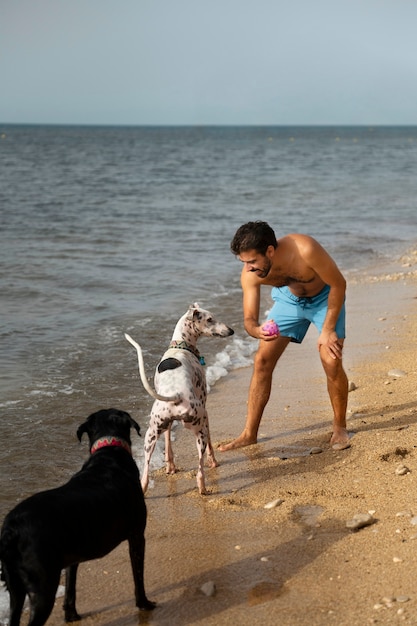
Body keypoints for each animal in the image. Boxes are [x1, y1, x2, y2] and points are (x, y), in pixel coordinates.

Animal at [0, 408, 155, 620]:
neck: (108, 452)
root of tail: (12, 529)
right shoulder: (137, 536)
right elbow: (138, 576)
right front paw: (144, 603)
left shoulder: (71, 557)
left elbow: (70, 587)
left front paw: (71, 615)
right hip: (42, 584)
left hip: (15, 586)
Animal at [123, 302, 234, 492]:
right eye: (210, 319)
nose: (231, 330)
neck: (180, 347)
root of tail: (175, 394)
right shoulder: (206, 411)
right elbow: (211, 445)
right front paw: (213, 461)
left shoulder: (166, 424)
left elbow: (168, 440)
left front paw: (170, 466)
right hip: (199, 429)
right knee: (199, 469)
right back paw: (203, 488)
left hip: (150, 436)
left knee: (145, 476)